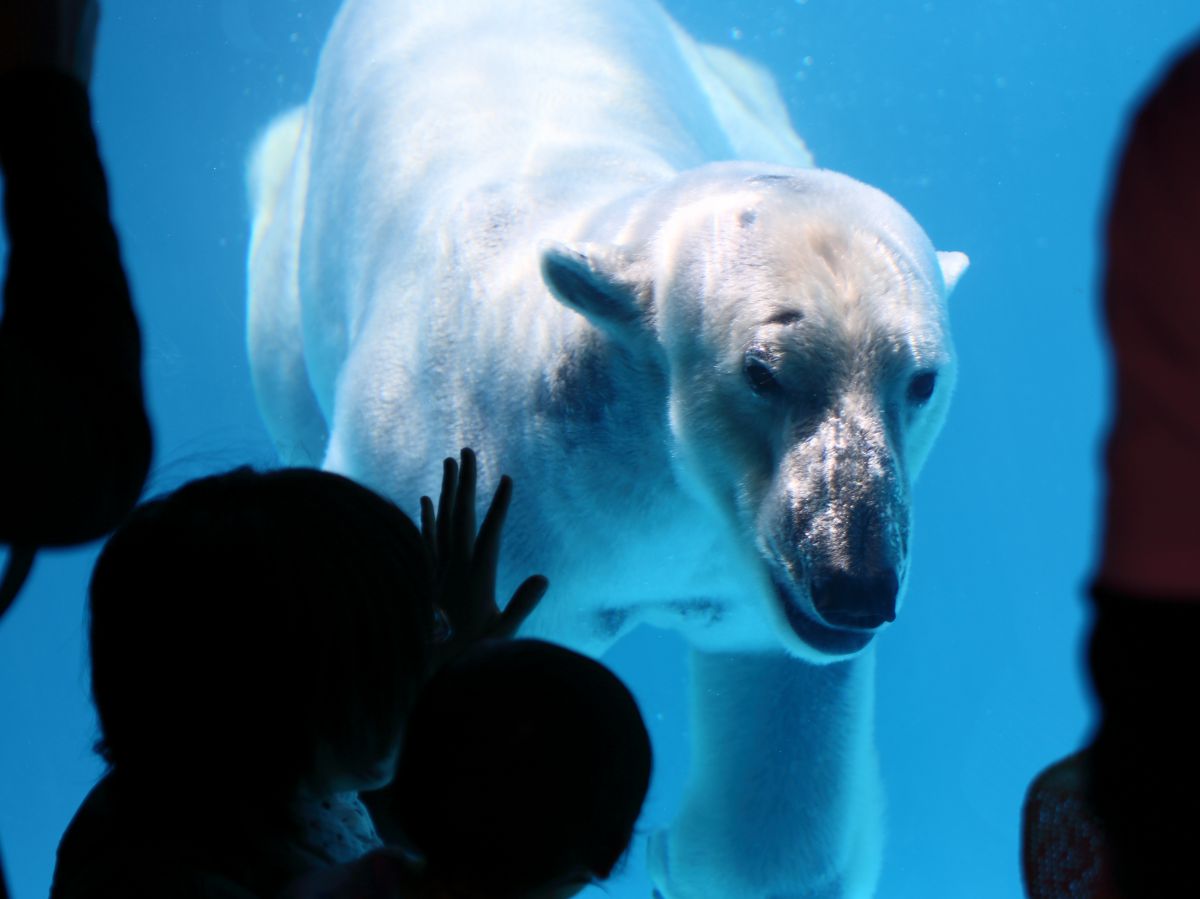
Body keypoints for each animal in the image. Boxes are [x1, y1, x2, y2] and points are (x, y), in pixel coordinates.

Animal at [243, 1, 964, 897]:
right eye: (761, 372)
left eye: (921, 379)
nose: (855, 581)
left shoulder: (732, 574)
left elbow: (778, 728)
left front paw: (672, 859)